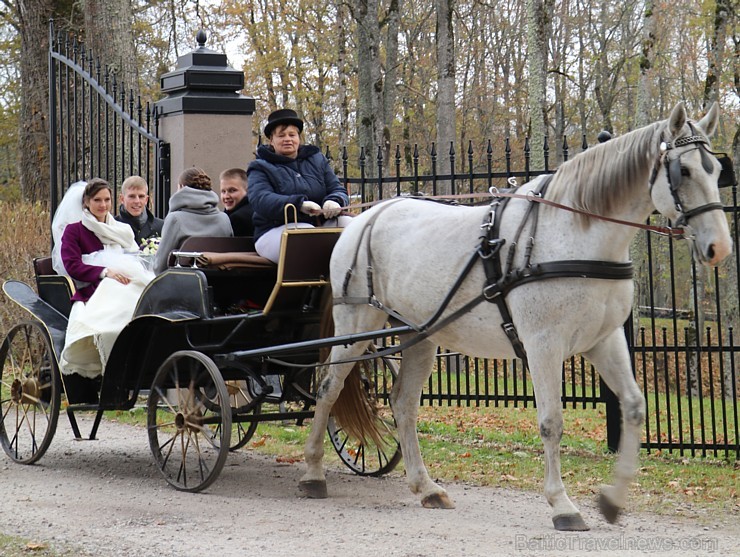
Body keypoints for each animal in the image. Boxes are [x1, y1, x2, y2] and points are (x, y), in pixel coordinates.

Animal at [298, 103, 732, 528]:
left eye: (716, 170)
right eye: (684, 171)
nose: (719, 247)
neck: (576, 232)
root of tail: (363, 218)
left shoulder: (603, 340)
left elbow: (634, 407)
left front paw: (611, 499)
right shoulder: (543, 344)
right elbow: (551, 421)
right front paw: (562, 504)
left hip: (420, 333)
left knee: (402, 402)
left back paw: (426, 487)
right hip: (356, 325)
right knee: (329, 389)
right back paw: (313, 472)